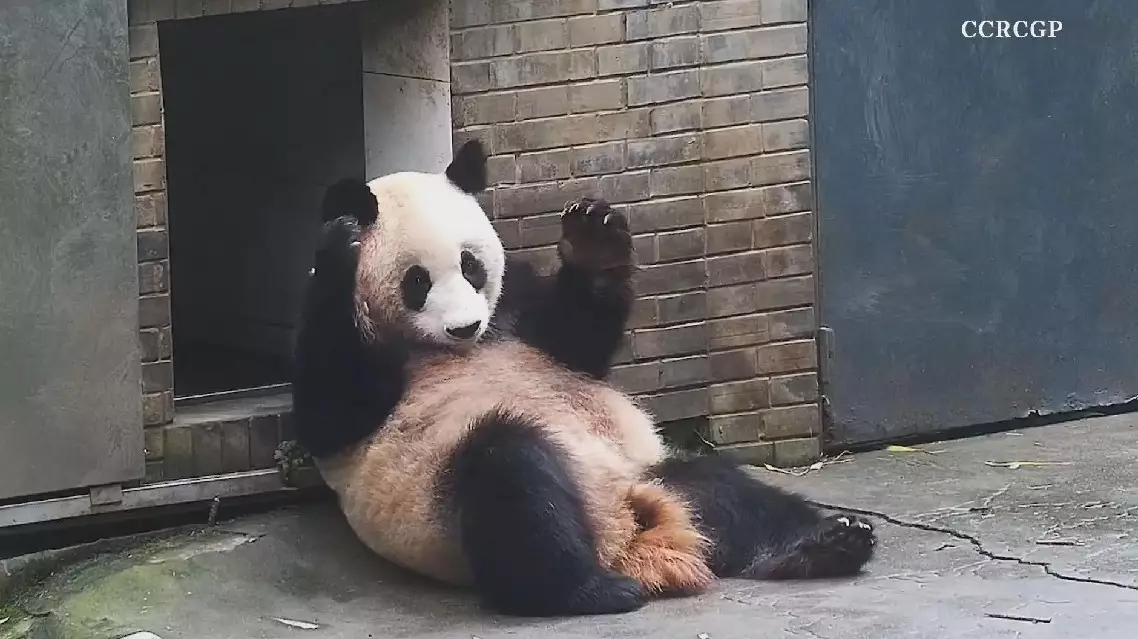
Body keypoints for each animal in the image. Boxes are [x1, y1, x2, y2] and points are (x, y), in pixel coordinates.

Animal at [289, 140, 873, 618]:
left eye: (471, 266)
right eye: (417, 282)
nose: (464, 326)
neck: (447, 347)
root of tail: (626, 529)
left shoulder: (516, 306)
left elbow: (576, 343)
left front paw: (594, 237)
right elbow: (330, 412)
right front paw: (339, 246)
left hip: (648, 469)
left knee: (724, 490)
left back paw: (826, 543)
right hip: (444, 496)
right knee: (513, 477)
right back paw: (589, 590)